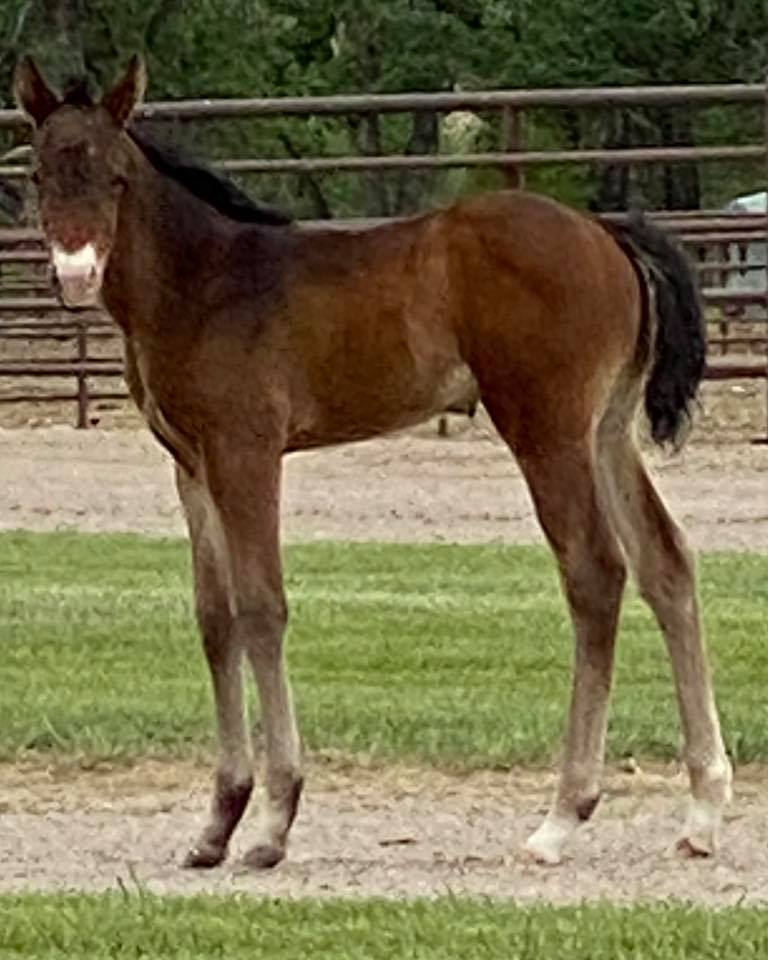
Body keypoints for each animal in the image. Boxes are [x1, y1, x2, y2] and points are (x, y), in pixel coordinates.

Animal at [15, 58, 728, 872]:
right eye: (38, 173)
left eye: (116, 177)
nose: (74, 273)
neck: (205, 283)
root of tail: (603, 232)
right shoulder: (189, 464)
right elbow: (214, 618)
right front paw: (216, 824)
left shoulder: (245, 450)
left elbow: (261, 607)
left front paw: (272, 823)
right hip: (605, 430)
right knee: (665, 563)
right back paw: (703, 811)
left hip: (547, 429)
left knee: (595, 572)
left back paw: (561, 818)